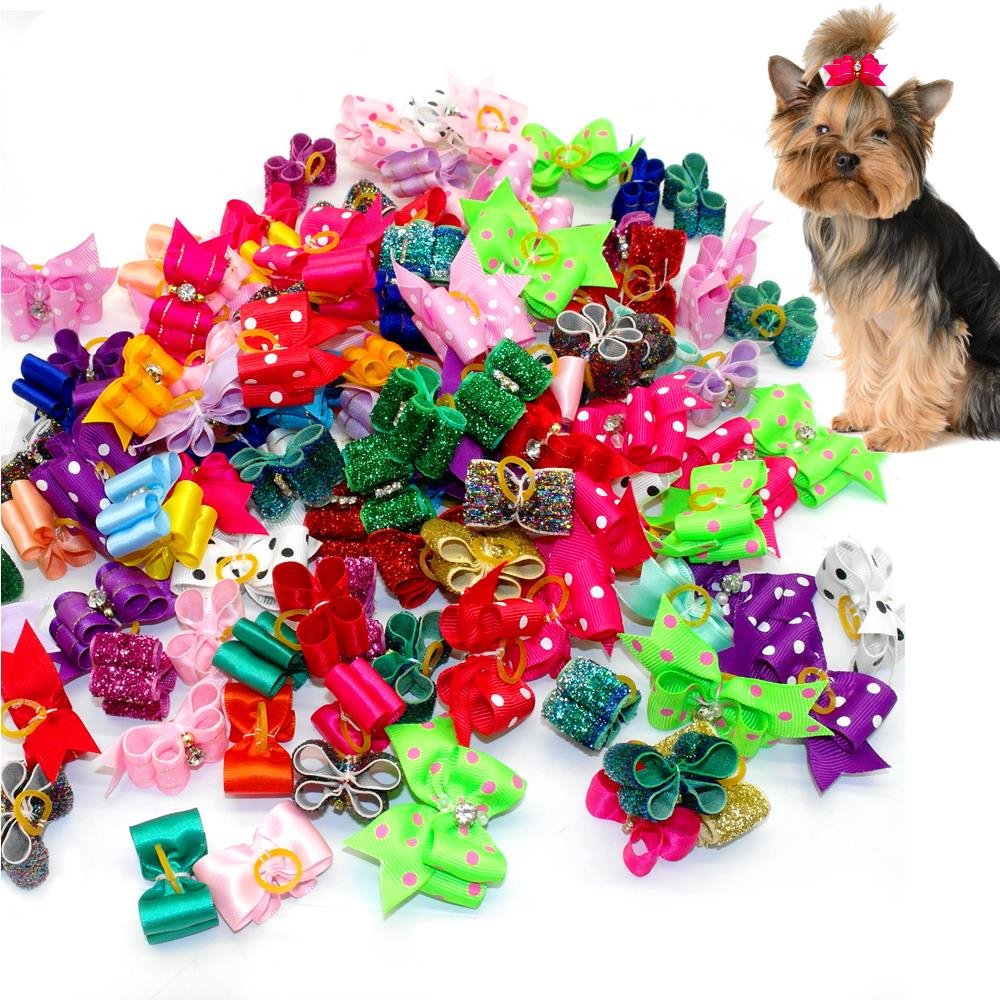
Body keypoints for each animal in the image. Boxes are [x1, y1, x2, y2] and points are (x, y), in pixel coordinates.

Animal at [767, 6, 1000, 450]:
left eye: (880, 134)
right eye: (823, 129)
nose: (846, 158)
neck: (859, 224)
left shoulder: (925, 321)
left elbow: (912, 371)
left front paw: (895, 432)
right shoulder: (859, 315)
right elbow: (866, 363)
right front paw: (859, 416)